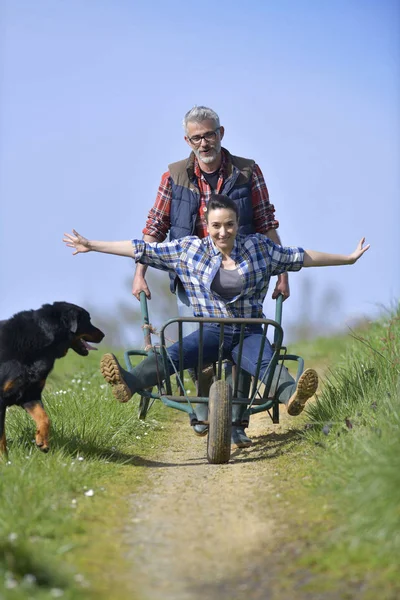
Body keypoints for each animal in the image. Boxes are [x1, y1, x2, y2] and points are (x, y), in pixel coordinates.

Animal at [0, 302, 104, 458]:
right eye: (88, 320)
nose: (103, 335)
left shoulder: (30, 395)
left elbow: (44, 418)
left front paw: (42, 442)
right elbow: (1, 437)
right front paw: (4, 459)